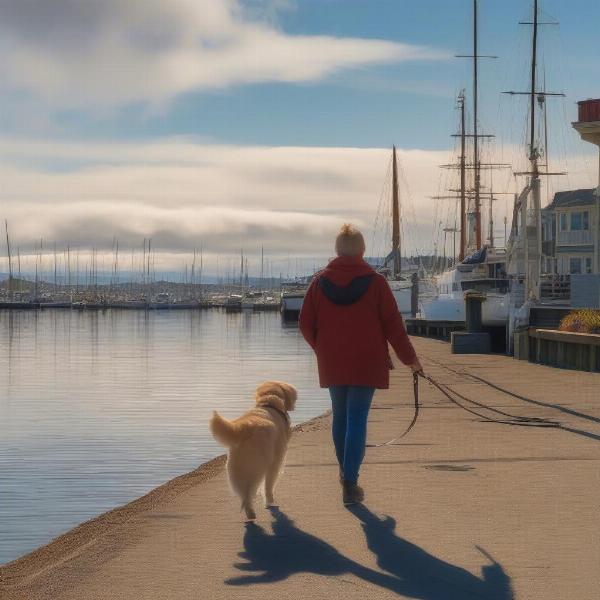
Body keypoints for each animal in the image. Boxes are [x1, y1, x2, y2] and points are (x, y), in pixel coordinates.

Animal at [209, 384, 298, 520]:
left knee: (244, 495)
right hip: (257, 468)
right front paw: (270, 501)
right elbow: (268, 485)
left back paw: (249, 511)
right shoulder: (275, 462)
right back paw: (252, 512)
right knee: (251, 491)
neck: (268, 403)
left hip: (236, 469)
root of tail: (245, 428)